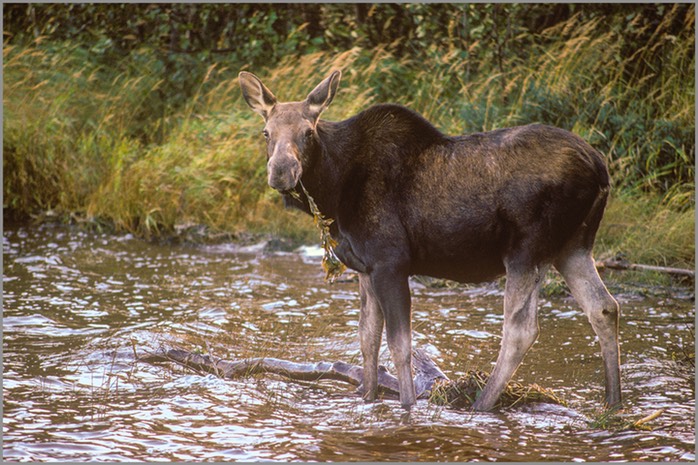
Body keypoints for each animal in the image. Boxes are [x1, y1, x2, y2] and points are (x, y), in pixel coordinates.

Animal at [239, 69, 620, 410]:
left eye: (308, 131)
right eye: (265, 132)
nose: (281, 171)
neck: (333, 191)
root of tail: (601, 169)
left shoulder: (391, 262)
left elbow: (399, 346)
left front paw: (407, 407)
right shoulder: (364, 267)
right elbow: (367, 339)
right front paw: (367, 399)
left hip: (527, 250)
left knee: (521, 330)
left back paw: (482, 403)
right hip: (573, 247)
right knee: (603, 307)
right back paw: (612, 403)